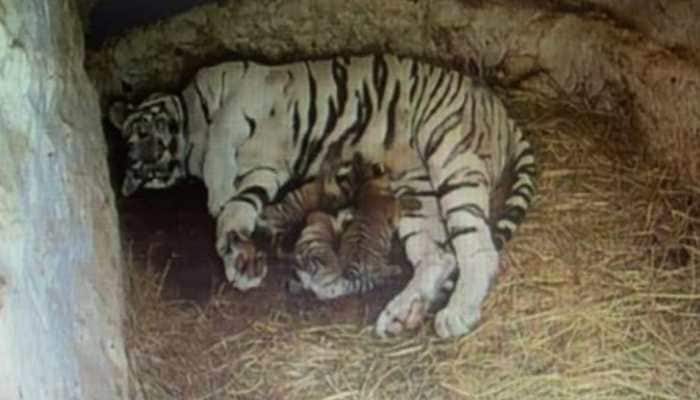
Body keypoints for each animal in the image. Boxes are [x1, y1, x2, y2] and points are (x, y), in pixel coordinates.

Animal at [109, 54, 536, 338]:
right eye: (144, 171)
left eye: (143, 134)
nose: (156, 154)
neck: (190, 139)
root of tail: (501, 109)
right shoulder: (264, 170)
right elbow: (238, 208)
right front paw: (238, 261)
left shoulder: (241, 89)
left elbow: (221, 138)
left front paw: (219, 197)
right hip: (415, 186)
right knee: (438, 255)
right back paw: (402, 314)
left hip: (451, 155)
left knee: (478, 249)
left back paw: (456, 314)